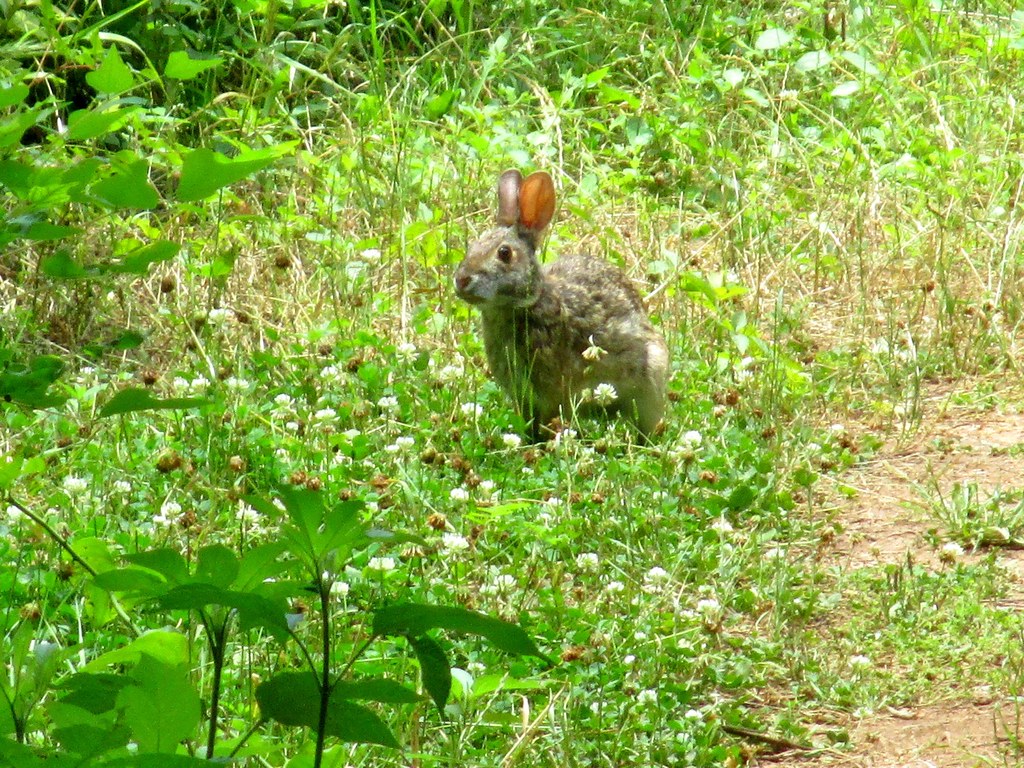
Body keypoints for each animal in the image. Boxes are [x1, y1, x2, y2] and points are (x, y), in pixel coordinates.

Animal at [454, 169, 669, 440]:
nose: (461, 280)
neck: (528, 303)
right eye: (471, 247)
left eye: (504, 253)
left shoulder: (552, 391)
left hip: (650, 376)